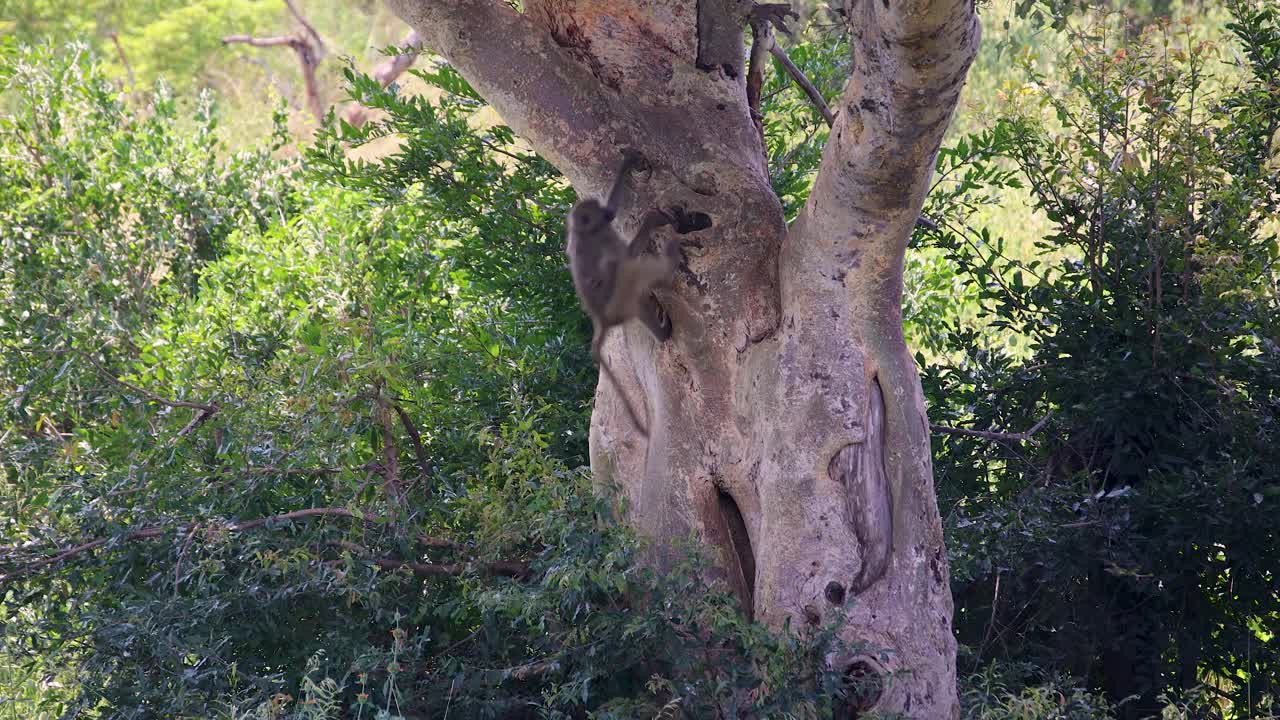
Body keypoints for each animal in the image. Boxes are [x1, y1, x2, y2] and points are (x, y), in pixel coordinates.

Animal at [566, 152, 681, 437]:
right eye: (598, 212)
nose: (607, 215)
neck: (584, 231)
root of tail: (601, 319)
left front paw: (627, 164)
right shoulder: (600, 240)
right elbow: (626, 257)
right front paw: (652, 220)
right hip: (620, 297)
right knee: (622, 267)